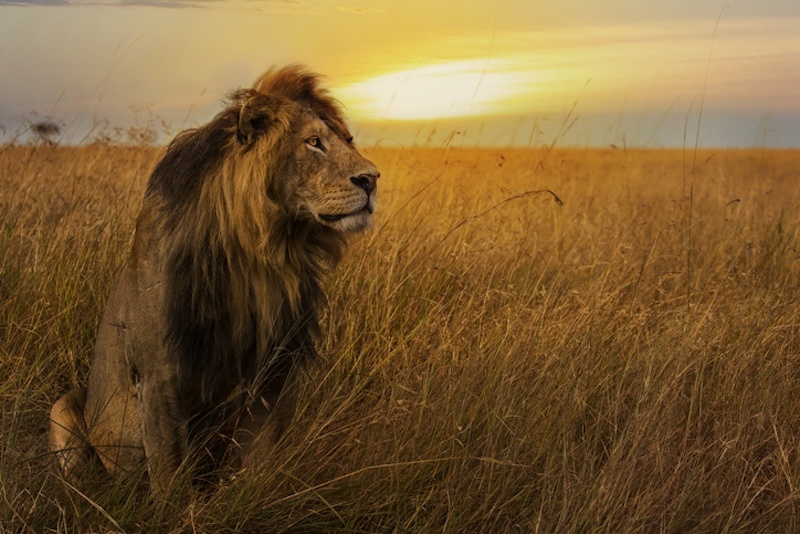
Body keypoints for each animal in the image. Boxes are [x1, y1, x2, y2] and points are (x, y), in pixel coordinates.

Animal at [50, 65, 382, 500]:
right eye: (314, 143)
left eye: (348, 141)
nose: (372, 180)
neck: (262, 255)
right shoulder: (158, 375)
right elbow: (170, 476)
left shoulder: (278, 368)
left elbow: (258, 460)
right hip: (66, 405)